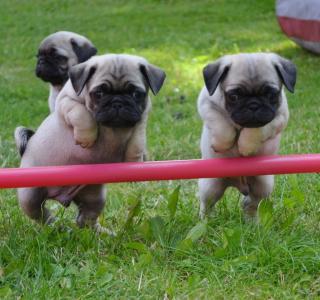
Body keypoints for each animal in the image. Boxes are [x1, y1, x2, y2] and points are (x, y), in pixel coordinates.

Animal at [14, 54, 165, 231]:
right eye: (99, 93)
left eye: (135, 93)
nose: (117, 102)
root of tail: (62, 196)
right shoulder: (66, 101)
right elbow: (82, 114)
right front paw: (86, 138)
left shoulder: (141, 120)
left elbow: (137, 143)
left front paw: (134, 165)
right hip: (30, 195)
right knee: (39, 213)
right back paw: (54, 225)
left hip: (94, 196)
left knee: (86, 219)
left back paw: (99, 231)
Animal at [199, 52, 296, 219]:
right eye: (234, 97)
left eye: (270, 95)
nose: (253, 105)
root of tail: (239, 184)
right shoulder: (206, 104)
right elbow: (222, 125)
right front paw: (221, 144)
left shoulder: (279, 117)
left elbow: (257, 130)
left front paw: (246, 146)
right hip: (210, 186)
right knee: (207, 204)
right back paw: (205, 220)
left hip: (263, 183)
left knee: (252, 203)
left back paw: (251, 219)